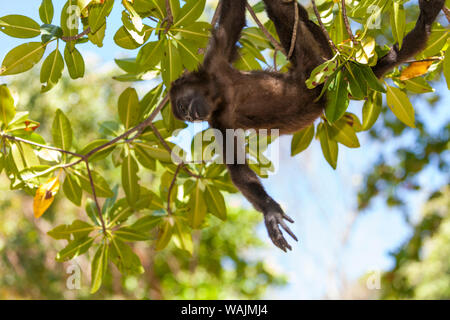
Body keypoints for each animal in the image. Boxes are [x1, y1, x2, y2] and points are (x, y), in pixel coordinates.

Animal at [170, 0, 446, 251]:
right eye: (185, 115)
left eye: (183, 106)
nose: (192, 116)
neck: (220, 94)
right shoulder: (217, 120)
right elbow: (238, 169)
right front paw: (270, 210)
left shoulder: (216, 62)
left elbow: (234, 18)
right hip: (329, 75)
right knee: (390, 60)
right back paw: (423, 28)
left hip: (320, 66)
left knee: (283, 11)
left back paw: (425, 22)